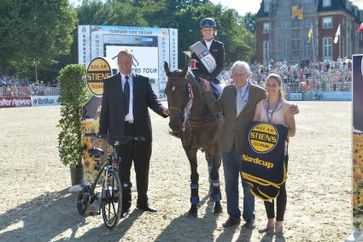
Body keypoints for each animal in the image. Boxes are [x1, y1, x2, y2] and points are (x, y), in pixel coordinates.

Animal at [164, 61, 222, 216]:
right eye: (166, 91)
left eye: (185, 91)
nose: (174, 124)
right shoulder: (189, 149)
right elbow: (194, 175)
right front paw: (193, 206)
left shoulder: (215, 147)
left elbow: (215, 173)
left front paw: (218, 205)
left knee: (215, 168)